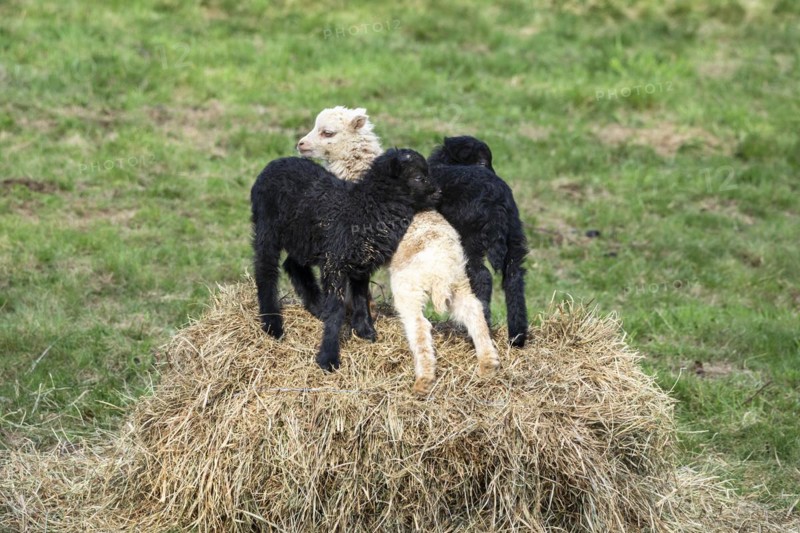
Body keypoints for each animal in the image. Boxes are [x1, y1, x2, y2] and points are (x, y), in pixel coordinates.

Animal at [250, 148, 440, 372]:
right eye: (419, 177)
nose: (439, 192)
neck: (364, 208)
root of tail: (273, 164)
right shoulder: (335, 262)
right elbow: (337, 309)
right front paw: (329, 358)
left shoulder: (361, 262)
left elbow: (360, 298)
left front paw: (365, 331)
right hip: (267, 227)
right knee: (265, 269)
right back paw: (272, 324)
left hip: (303, 238)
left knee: (293, 265)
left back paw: (316, 307)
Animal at [297, 106, 500, 395]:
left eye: (328, 132)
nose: (301, 144)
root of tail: (442, 268)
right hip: (459, 282)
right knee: (473, 311)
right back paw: (487, 364)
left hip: (409, 288)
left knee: (420, 325)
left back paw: (423, 380)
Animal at [428, 136, 529, 347]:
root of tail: (497, 202)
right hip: (514, 237)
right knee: (514, 278)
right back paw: (517, 337)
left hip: (470, 239)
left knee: (483, 276)